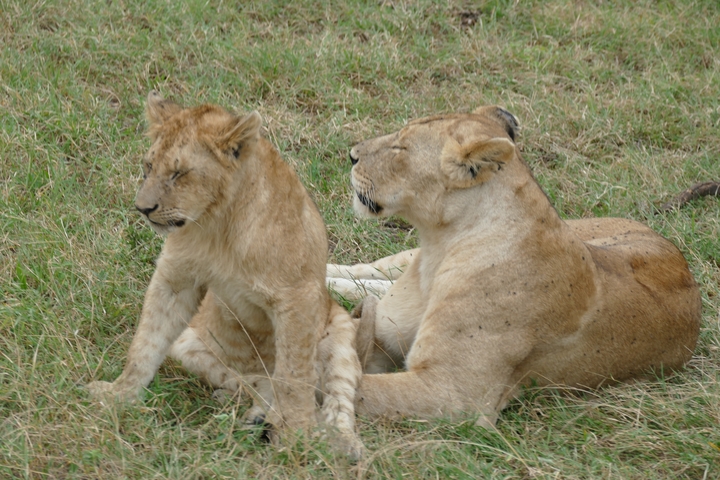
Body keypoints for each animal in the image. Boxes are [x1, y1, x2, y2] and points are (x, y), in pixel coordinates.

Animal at [87, 92, 363, 457]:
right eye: (148, 167)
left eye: (179, 173)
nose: (142, 209)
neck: (219, 223)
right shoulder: (175, 280)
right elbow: (145, 343)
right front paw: (120, 395)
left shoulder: (298, 297)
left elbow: (294, 375)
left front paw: (297, 437)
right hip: (189, 347)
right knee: (256, 382)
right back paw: (259, 413)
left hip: (340, 332)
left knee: (336, 398)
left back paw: (342, 442)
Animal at [326, 106, 702, 427]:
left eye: (400, 147)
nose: (351, 155)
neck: (439, 249)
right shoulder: (384, 337)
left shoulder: (452, 393)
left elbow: (350, 387)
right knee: (369, 271)